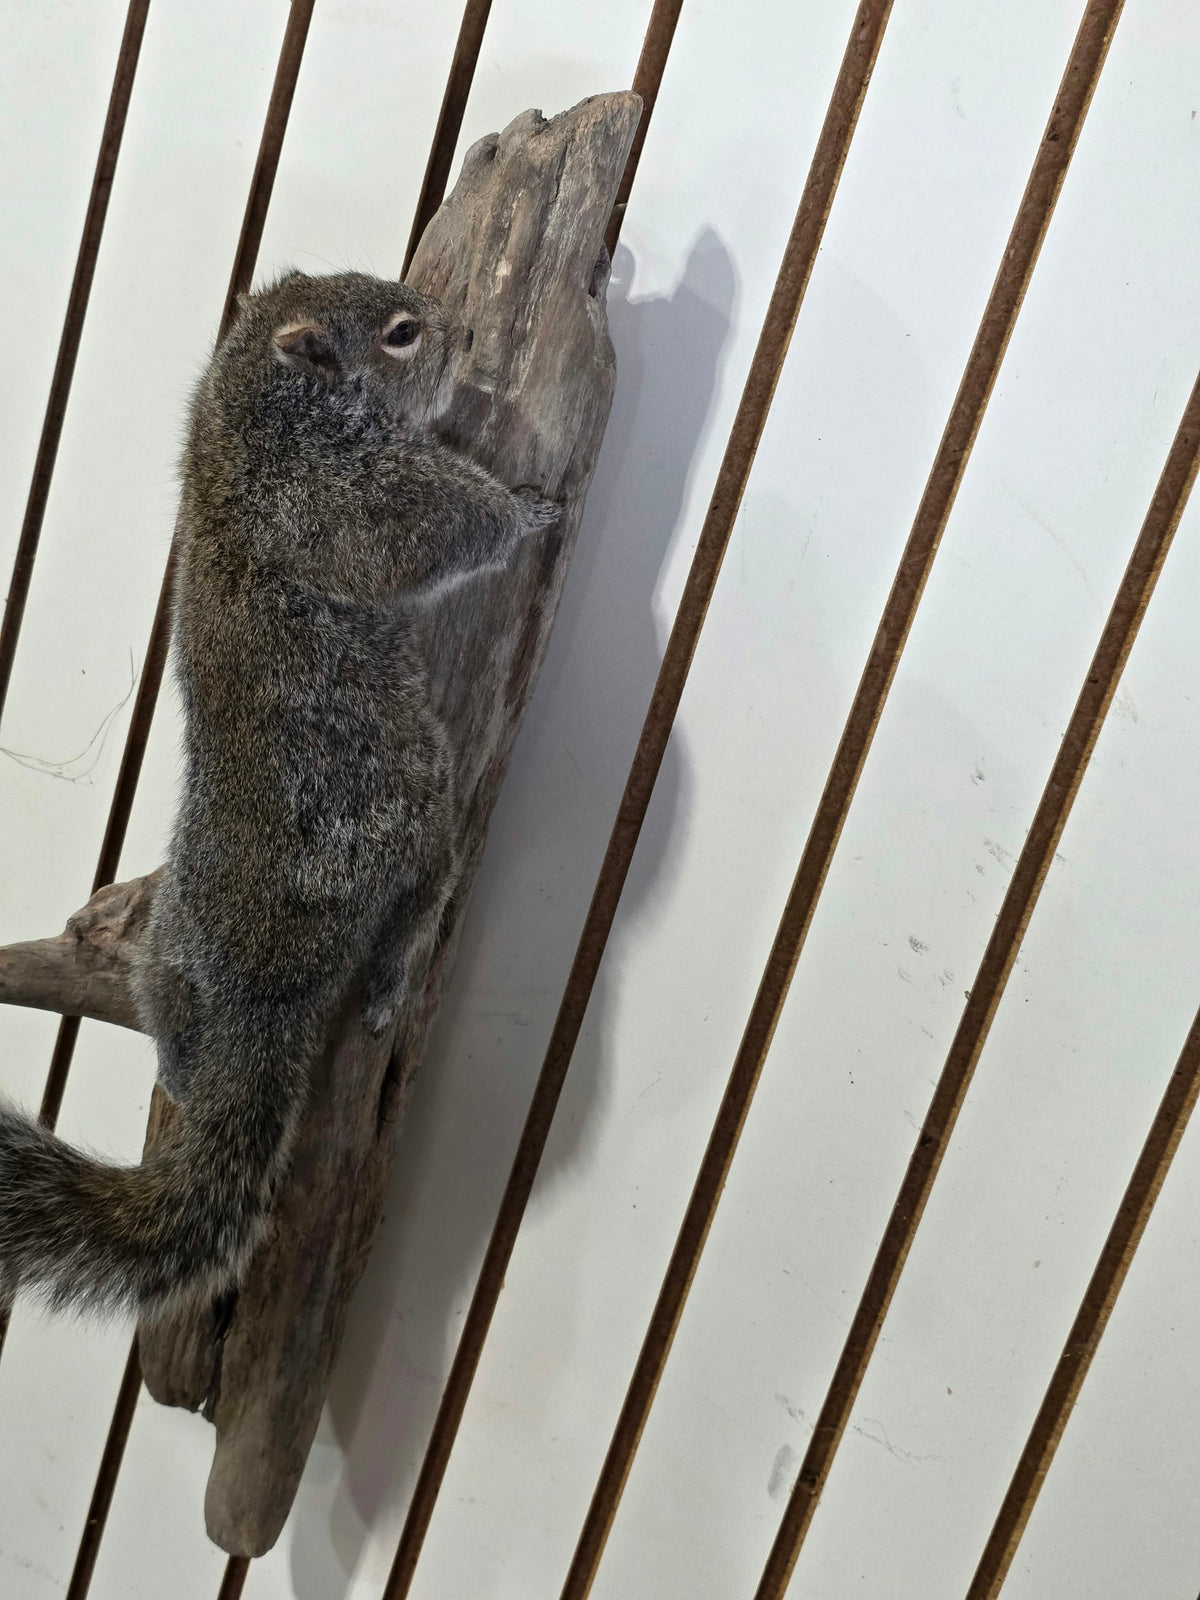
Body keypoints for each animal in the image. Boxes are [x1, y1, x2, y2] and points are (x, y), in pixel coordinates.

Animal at [0, 270, 558, 1317]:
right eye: (402, 333)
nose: (465, 335)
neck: (244, 423)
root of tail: (258, 992)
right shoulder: (358, 497)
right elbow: (450, 528)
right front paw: (530, 511)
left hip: (170, 956)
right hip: (414, 800)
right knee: (419, 897)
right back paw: (392, 976)